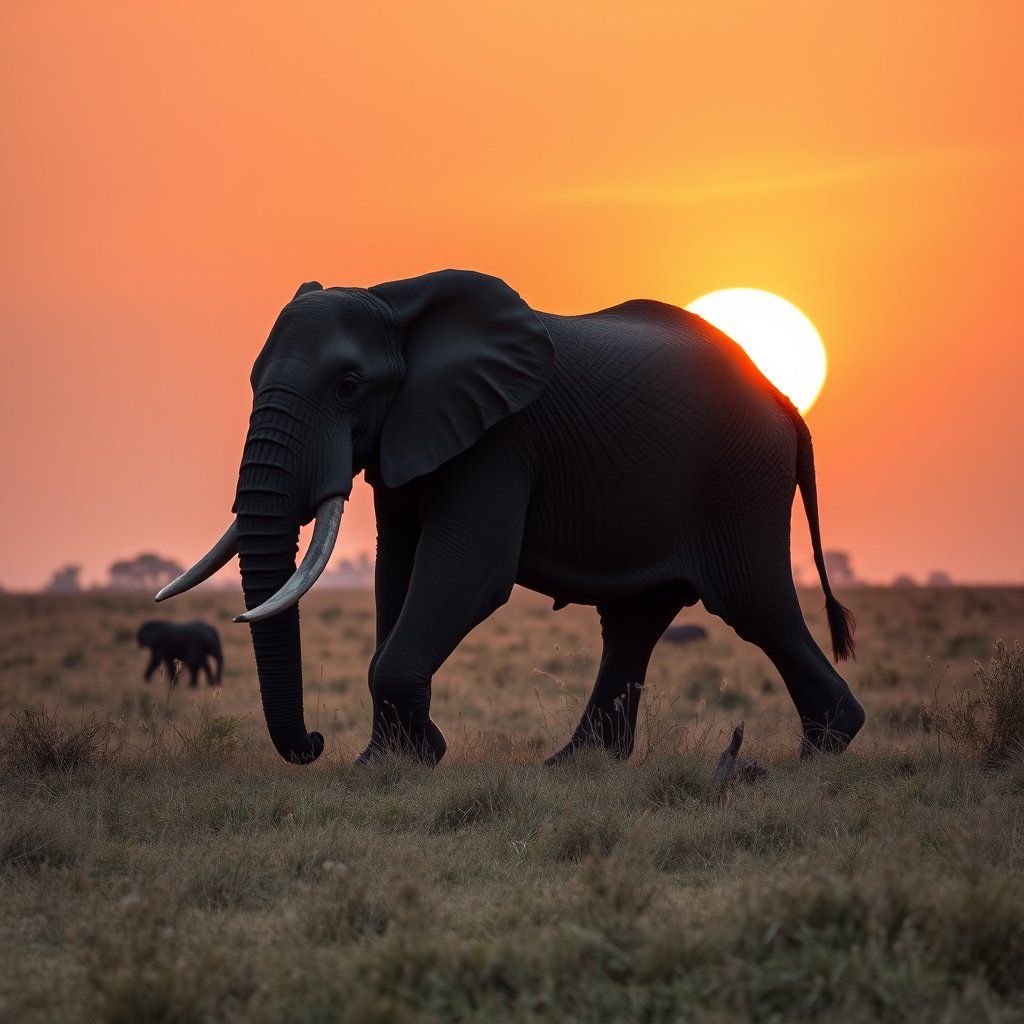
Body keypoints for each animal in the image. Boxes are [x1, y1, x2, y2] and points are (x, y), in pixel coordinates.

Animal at [156, 269, 863, 766]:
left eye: (348, 386)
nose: (316, 741)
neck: (398, 301)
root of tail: (784, 399)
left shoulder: (500, 440)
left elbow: (469, 570)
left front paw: (410, 759)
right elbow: (396, 572)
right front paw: (389, 762)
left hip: (739, 481)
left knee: (757, 607)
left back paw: (823, 750)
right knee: (635, 621)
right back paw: (576, 766)